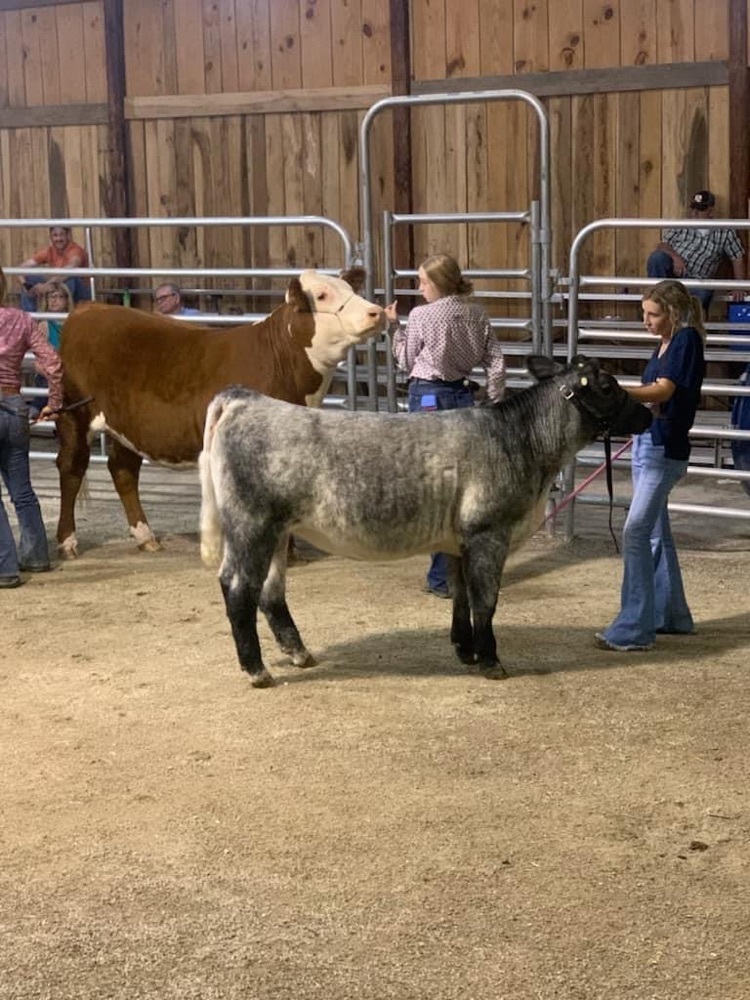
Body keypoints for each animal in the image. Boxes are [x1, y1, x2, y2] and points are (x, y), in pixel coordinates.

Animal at [55, 268, 384, 558]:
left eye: (350, 288)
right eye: (323, 294)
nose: (376, 312)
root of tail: (88, 308)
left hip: (127, 424)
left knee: (123, 470)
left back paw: (145, 537)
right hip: (73, 414)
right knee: (72, 468)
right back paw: (67, 542)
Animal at [199, 354, 653, 687]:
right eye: (608, 386)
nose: (648, 415)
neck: (519, 441)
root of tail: (244, 399)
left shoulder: (457, 541)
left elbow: (461, 595)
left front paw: (464, 650)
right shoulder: (489, 533)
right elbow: (486, 600)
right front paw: (491, 661)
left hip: (277, 532)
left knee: (270, 592)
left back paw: (298, 654)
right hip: (251, 525)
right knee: (238, 587)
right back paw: (257, 670)